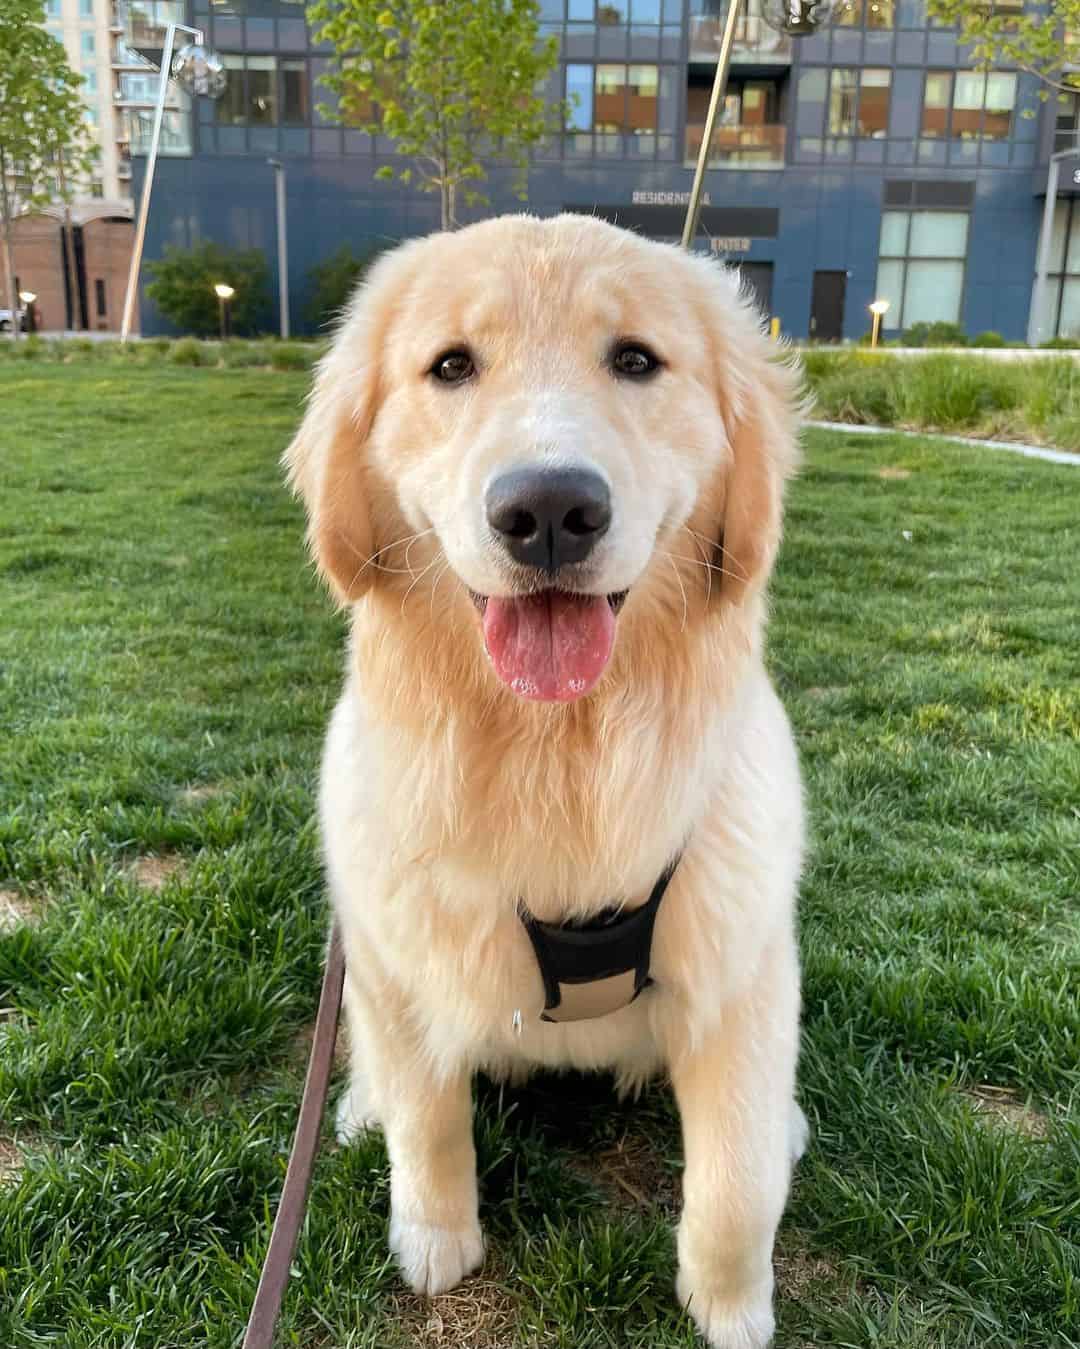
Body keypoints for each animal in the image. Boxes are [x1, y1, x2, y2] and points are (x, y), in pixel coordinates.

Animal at [281, 213, 803, 1349]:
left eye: (637, 360)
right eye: (451, 366)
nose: (551, 508)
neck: (557, 748)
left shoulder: (740, 969)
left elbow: (736, 1185)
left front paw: (732, 1307)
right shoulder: (398, 956)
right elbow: (428, 1123)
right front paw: (434, 1239)